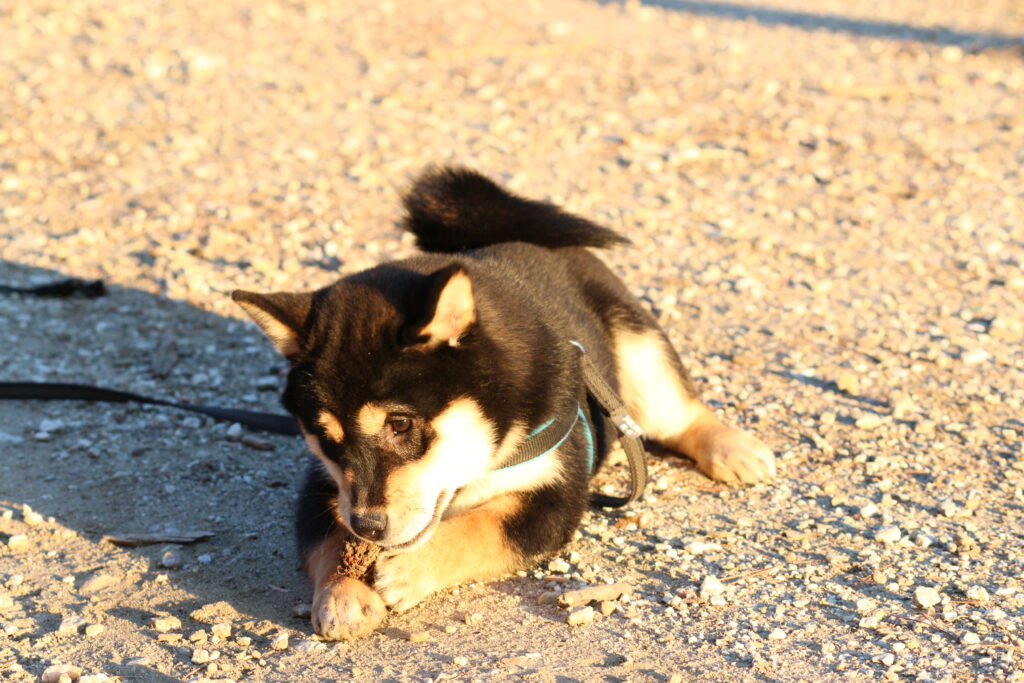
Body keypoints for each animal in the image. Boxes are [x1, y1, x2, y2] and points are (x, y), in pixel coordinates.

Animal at [234, 166, 774, 643]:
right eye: (325, 437)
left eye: (400, 424)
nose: (368, 524)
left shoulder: (557, 497)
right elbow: (328, 542)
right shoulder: (323, 488)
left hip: (640, 352)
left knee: (679, 412)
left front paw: (407, 569)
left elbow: (482, 527)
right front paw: (342, 595)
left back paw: (735, 450)